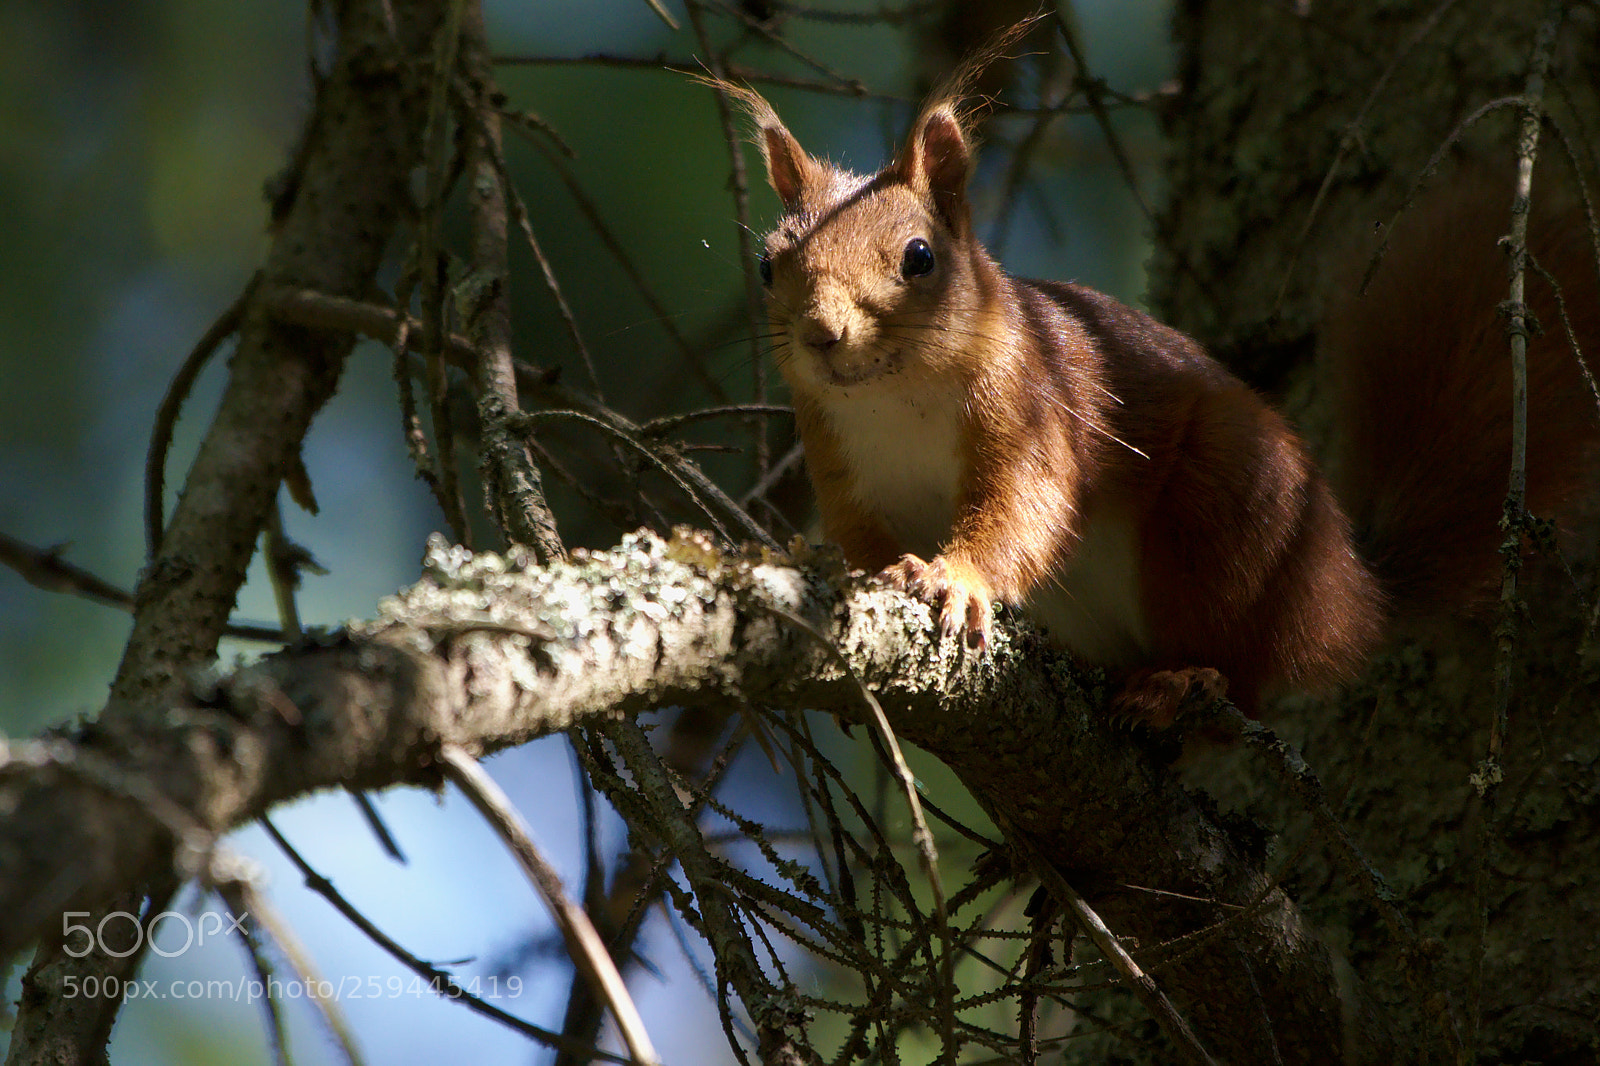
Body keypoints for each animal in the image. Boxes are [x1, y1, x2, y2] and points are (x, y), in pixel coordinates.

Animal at [713, 80, 1599, 724]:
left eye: (919, 257)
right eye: (767, 264)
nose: (822, 334)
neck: (898, 398)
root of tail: (1354, 595)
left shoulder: (1030, 409)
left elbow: (1024, 507)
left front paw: (957, 578)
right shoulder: (840, 462)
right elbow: (860, 539)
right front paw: (852, 575)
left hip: (1225, 514)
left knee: (1245, 683)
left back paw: (1183, 682)